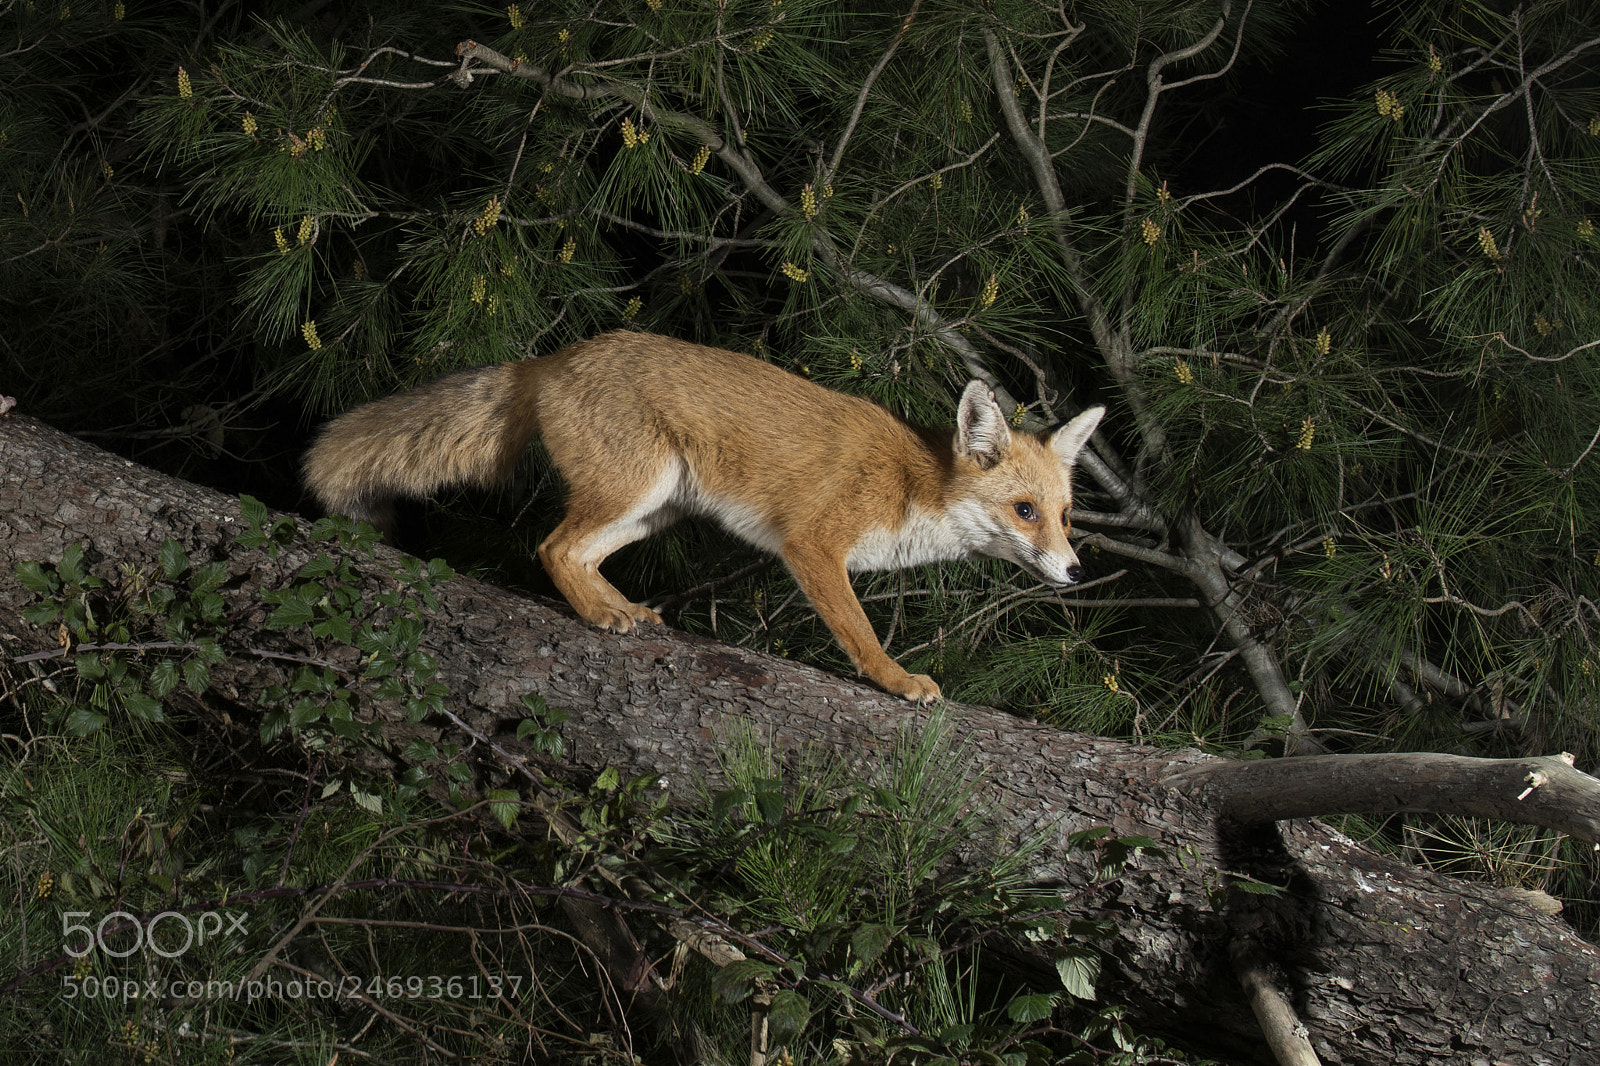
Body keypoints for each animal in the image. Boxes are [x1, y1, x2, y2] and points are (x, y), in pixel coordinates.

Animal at [303, 331, 1104, 703]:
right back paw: (600, 614)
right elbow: (861, 634)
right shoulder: (813, 545)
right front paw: (895, 679)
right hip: (633, 490)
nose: (1074, 572)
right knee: (552, 547)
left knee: (577, 554)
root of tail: (558, 356)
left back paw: (619, 607)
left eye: (1066, 516)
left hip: (653, 511)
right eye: (1024, 511)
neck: (915, 484)